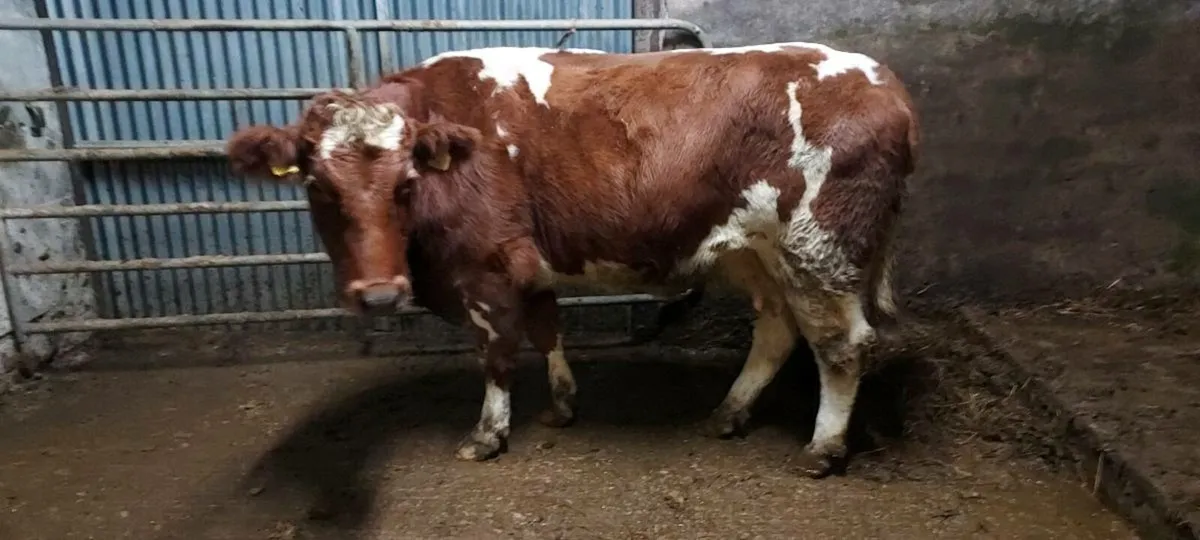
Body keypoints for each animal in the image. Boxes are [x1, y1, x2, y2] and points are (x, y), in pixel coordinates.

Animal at [224, 42, 919, 478]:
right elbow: (547, 329)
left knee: (842, 345)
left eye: (405, 183)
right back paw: (729, 412)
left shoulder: (487, 266)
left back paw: (823, 448)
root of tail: (884, 81)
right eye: (318, 185)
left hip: (820, 248)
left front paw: (487, 436)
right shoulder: (527, 267)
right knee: (777, 329)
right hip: (761, 252)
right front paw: (560, 405)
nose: (378, 294)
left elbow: (498, 355)